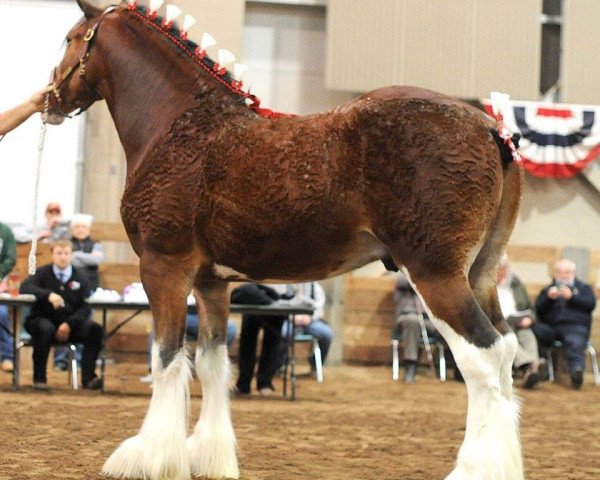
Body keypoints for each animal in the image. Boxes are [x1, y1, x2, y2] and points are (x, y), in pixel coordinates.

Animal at [42, 0, 524, 480]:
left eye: (69, 39)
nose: (49, 100)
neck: (179, 125)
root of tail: (492, 130)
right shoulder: (211, 283)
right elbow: (212, 363)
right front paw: (210, 457)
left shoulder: (164, 267)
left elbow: (166, 359)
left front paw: (149, 456)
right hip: (480, 276)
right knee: (505, 353)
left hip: (435, 275)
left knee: (483, 358)